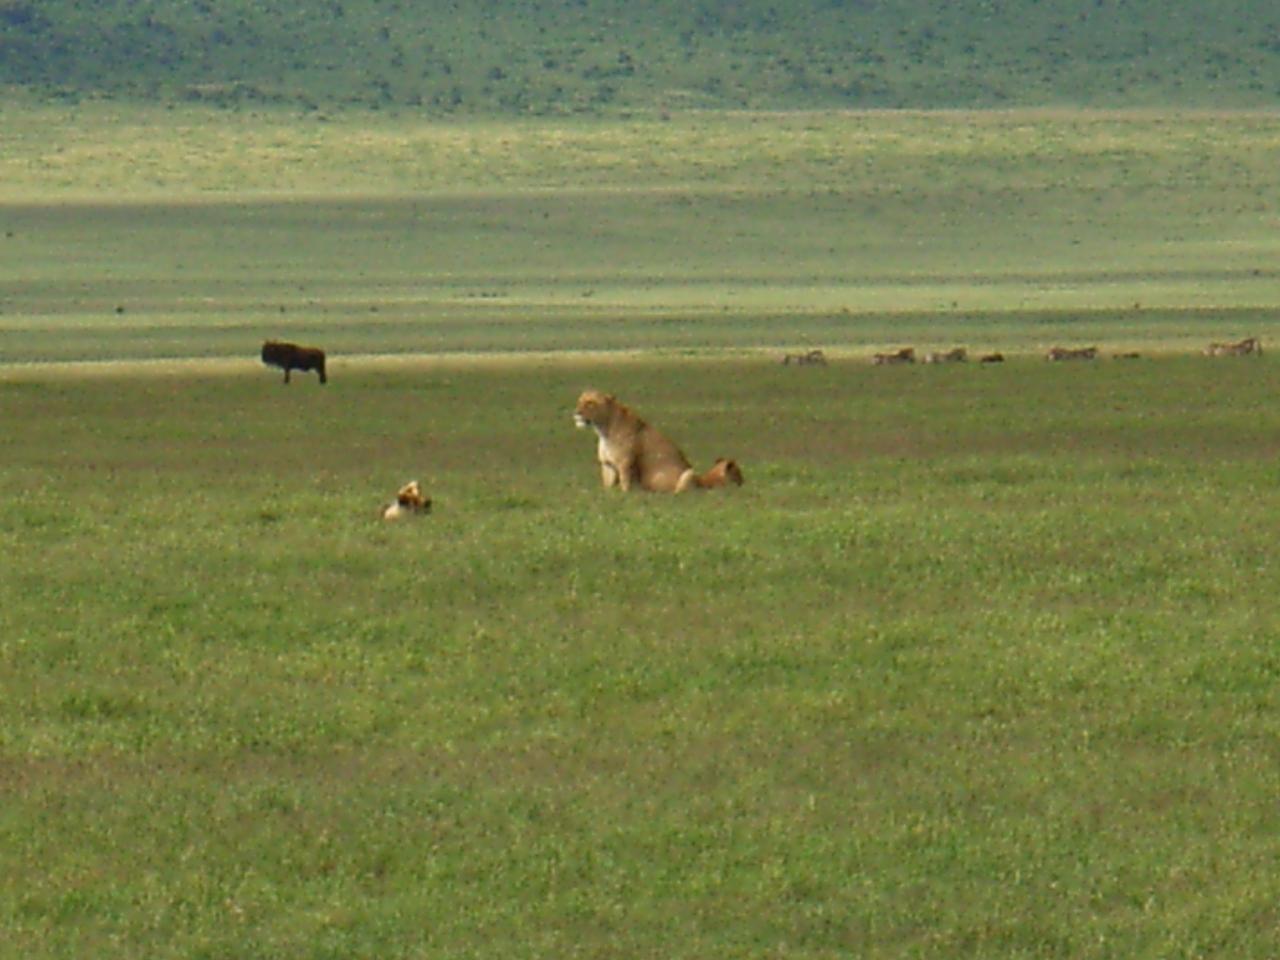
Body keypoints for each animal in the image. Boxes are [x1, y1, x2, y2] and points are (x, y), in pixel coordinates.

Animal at [576, 391, 747, 496]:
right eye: (580, 401)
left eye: (590, 403)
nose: (576, 412)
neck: (603, 429)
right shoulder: (608, 465)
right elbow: (608, 487)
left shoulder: (625, 465)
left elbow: (626, 486)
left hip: (689, 473)